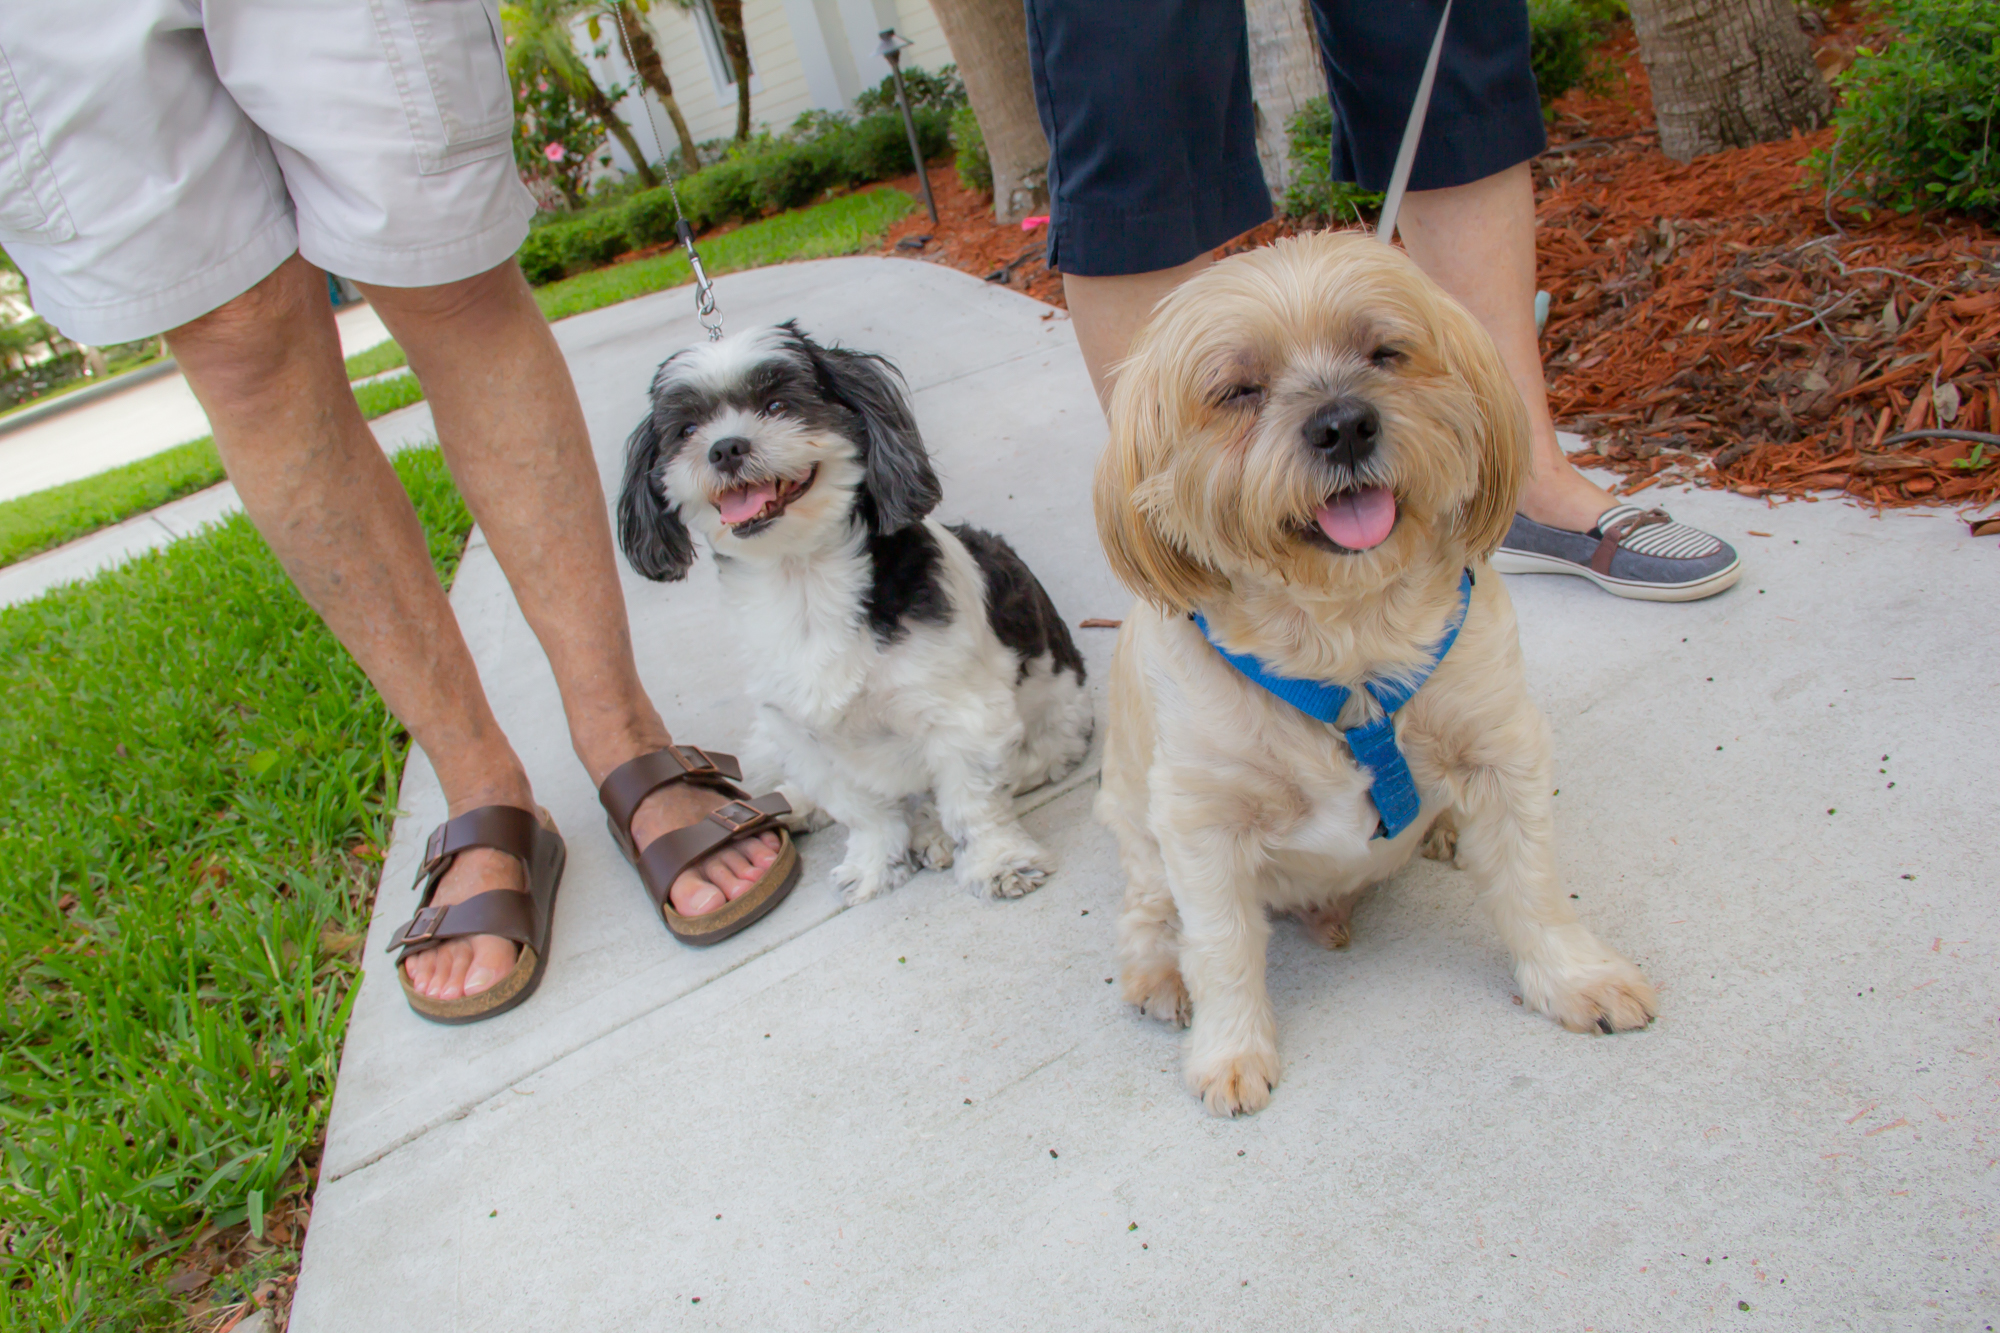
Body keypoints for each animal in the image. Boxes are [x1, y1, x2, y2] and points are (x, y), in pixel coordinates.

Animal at [624, 322, 1096, 904]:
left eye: (778, 404)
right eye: (687, 428)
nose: (725, 447)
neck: (804, 584)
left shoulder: (965, 717)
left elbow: (974, 802)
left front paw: (998, 861)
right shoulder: (803, 737)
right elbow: (862, 812)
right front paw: (875, 863)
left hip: (1058, 730)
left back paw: (934, 832)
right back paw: (797, 805)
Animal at [1096, 233, 1656, 1112]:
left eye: (1385, 353)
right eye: (1238, 390)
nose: (1345, 424)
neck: (1347, 640)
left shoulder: (1502, 751)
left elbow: (1532, 883)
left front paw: (1574, 976)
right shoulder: (1199, 821)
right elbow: (1221, 946)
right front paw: (1231, 1046)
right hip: (1135, 820)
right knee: (1150, 910)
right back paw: (1159, 968)